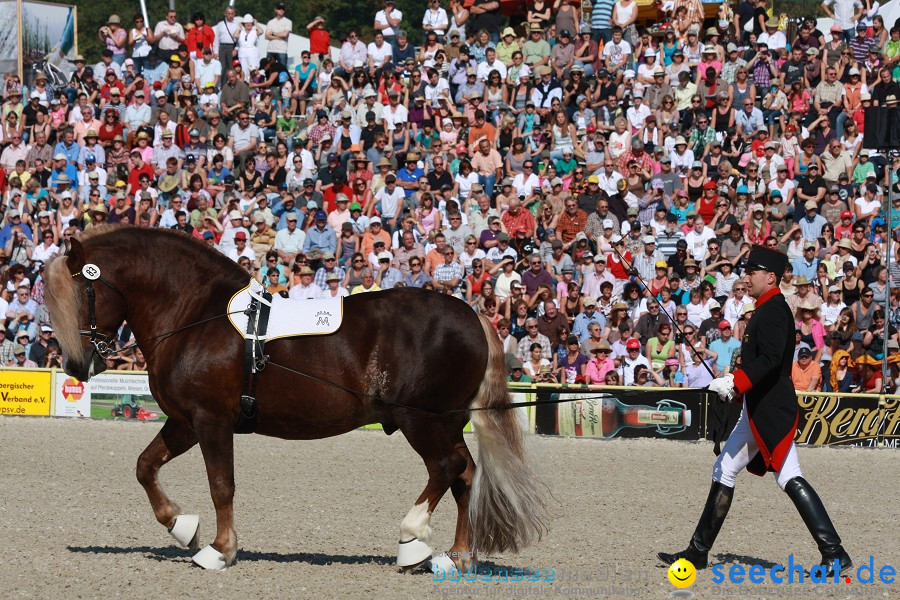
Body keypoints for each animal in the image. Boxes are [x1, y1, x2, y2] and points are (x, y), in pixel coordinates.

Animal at [45, 226, 544, 572]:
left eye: (80, 294)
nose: (76, 366)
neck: (196, 315)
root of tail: (471, 314)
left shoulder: (211, 421)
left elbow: (221, 484)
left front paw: (220, 551)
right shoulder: (185, 422)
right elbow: (145, 467)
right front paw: (182, 527)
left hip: (419, 419)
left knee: (445, 468)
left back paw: (412, 541)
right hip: (446, 421)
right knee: (465, 474)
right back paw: (456, 556)